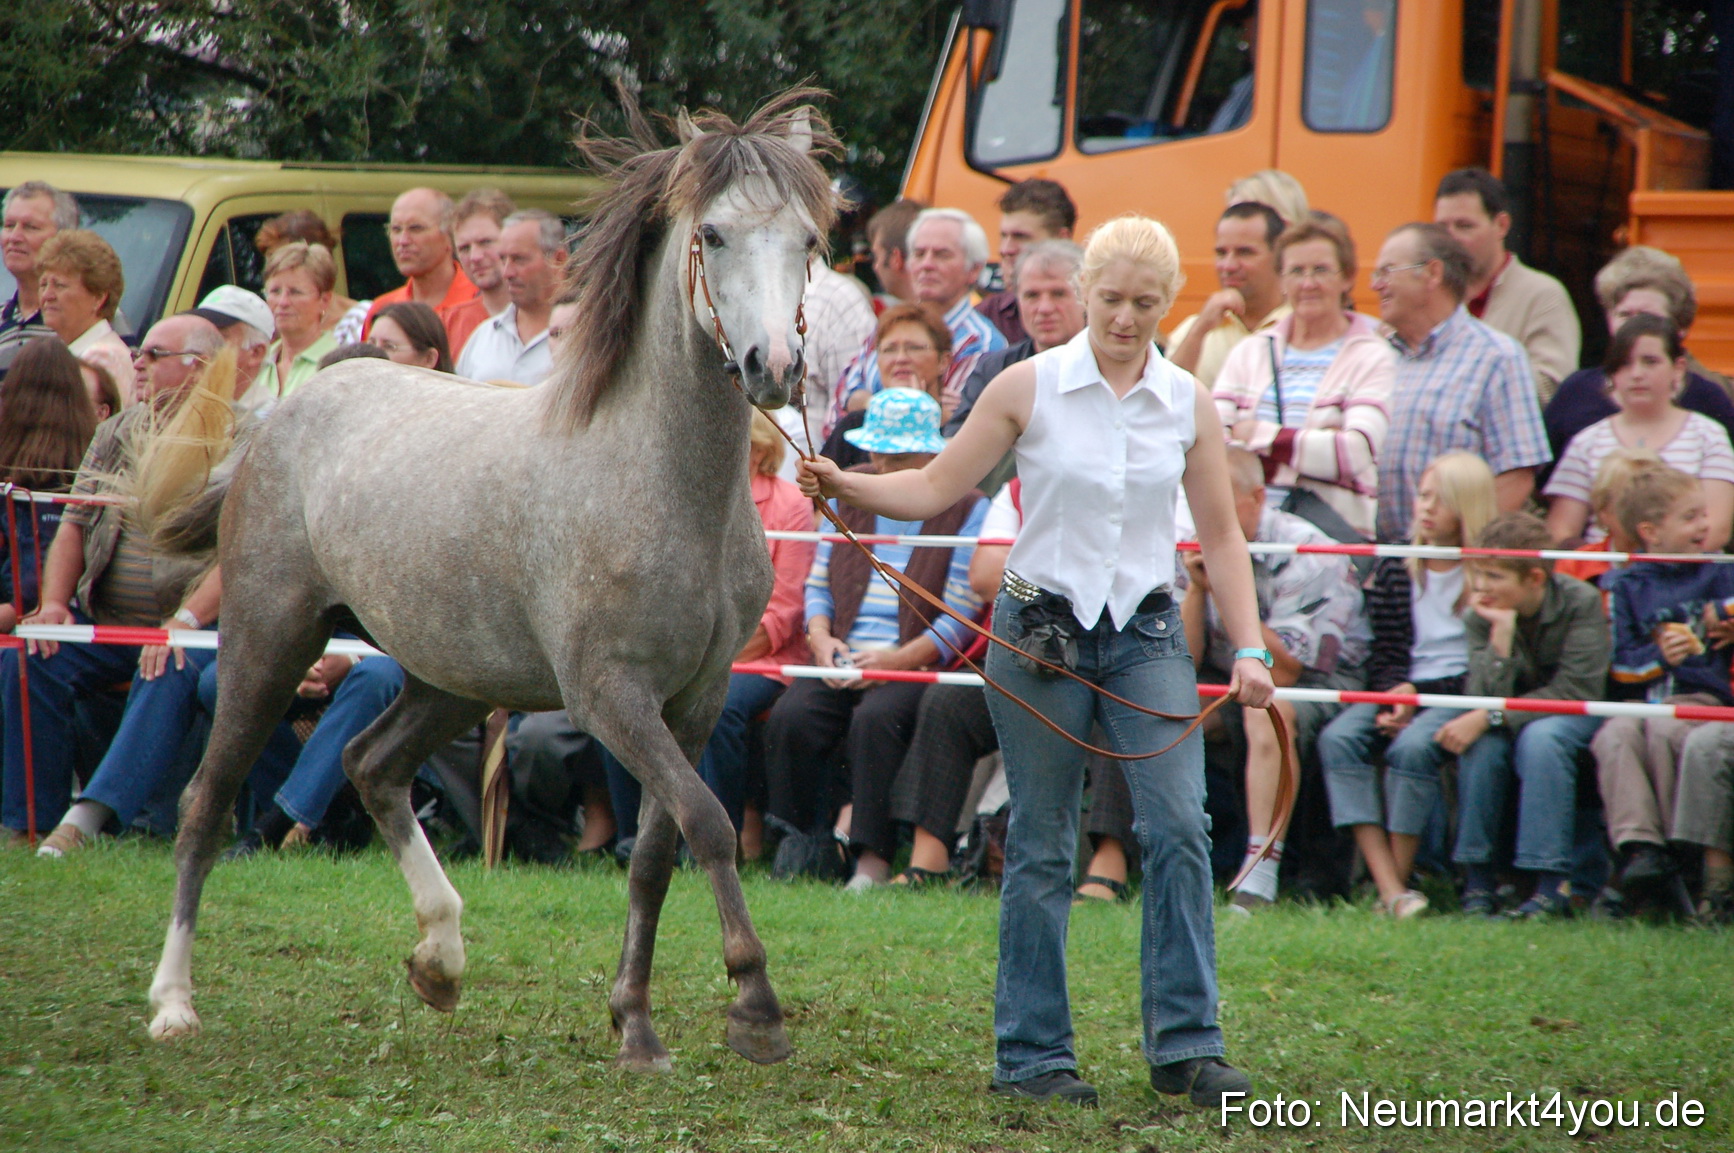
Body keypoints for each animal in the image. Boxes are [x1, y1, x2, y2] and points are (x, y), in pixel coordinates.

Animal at [143, 89, 837, 1072]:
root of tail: (283, 412)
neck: (662, 483)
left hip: (452, 677)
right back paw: (174, 1002)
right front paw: (755, 1006)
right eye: (714, 234)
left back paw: (439, 957)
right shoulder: (609, 694)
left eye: (808, 239)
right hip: (270, 639)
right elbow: (704, 821)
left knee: (370, 763)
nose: (773, 367)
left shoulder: (698, 700)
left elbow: (654, 850)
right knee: (205, 802)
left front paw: (634, 1022)